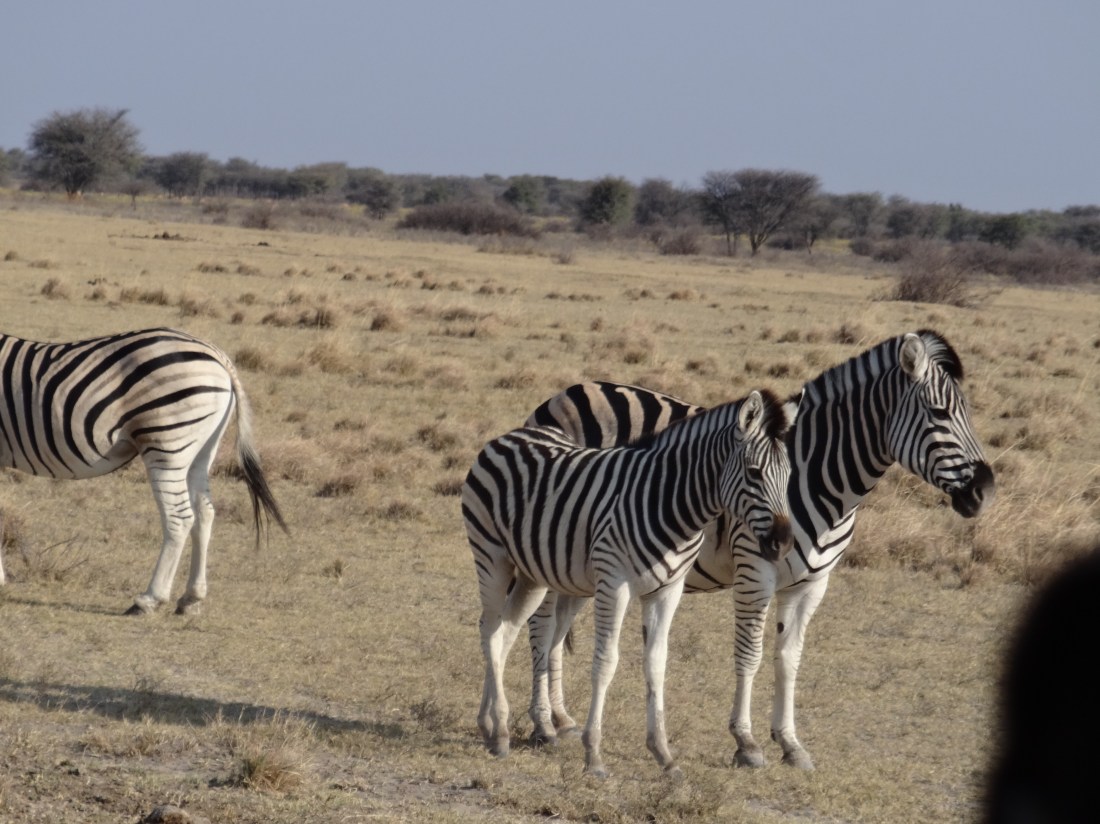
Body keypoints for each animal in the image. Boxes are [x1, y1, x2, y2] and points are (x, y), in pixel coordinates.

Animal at [0, 327, 288, 615]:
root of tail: (217, 355)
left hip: (167, 443)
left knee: (179, 518)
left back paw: (150, 599)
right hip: (203, 450)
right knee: (205, 513)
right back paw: (191, 597)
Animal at [462, 388, 795, 778]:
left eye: (790, 475)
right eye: (754, 473)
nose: (783, 543)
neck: (669, 504)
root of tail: (509, 434)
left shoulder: (668, 591)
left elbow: (656, 664)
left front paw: (663, 754)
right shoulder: (614, 583)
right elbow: (606, 661)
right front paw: (594, 754)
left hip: (533, 573)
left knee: (507, 631)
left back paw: (489, 724)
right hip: (492, 556)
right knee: (490, 630)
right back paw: (499, 731)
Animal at [523, 330, 995, 770]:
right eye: (940, 413)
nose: (985, 489)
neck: (822, 480)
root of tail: (564, 394)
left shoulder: (812, 584)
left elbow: (788, 659)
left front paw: (790, 743)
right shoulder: (756, 572)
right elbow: (749, 655)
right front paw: (746, 742)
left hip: (577, 562)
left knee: (560, 626)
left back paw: (562, 719)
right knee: (542, 626)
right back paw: (543, 724)